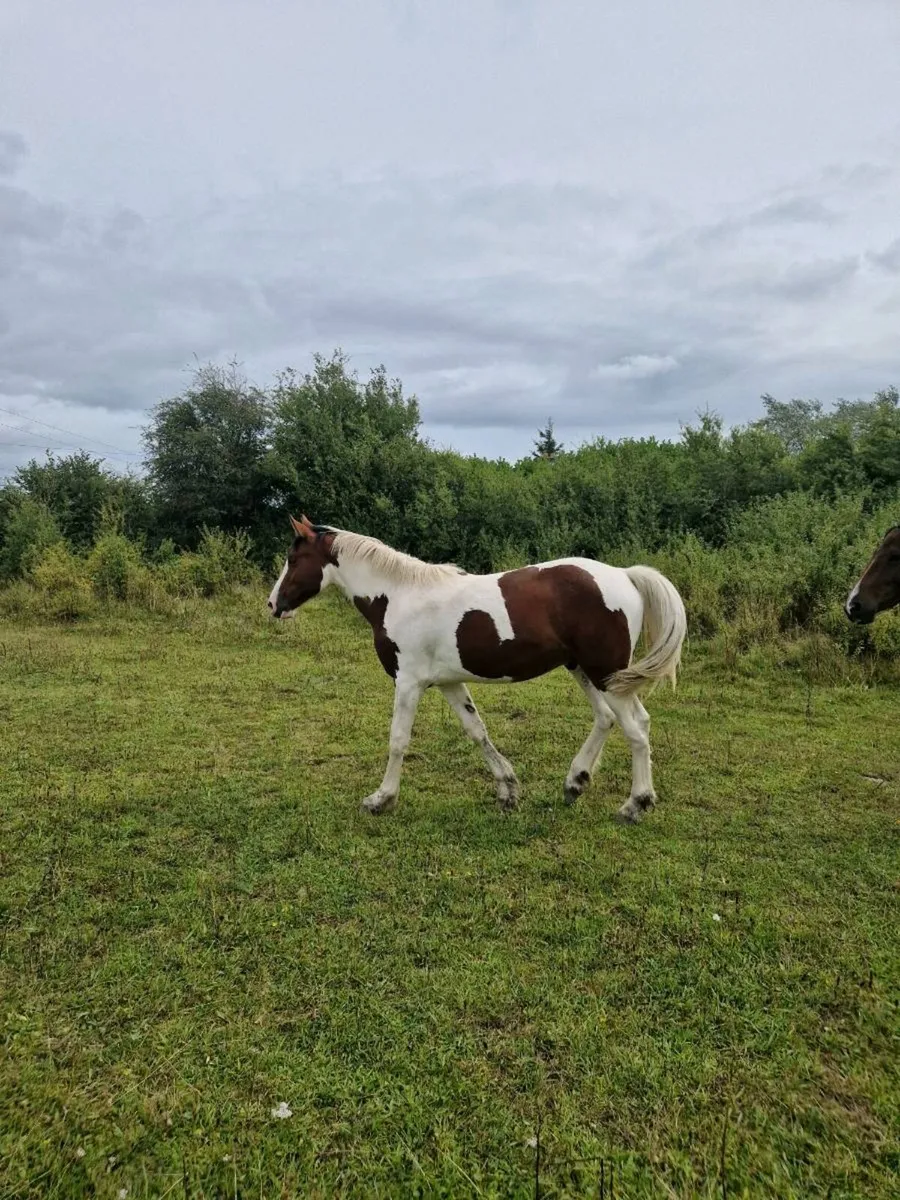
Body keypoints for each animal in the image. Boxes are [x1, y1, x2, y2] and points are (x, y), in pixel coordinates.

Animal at [268, 515, 687, 822]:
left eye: (293, 559)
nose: (274, 604)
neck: (398, 595)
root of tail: (625, 574)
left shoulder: (408, 683)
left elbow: (398, 740)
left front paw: (381, 798)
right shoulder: (448, 683)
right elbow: (477, 731)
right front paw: (508, 790)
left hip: (604, 673)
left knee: (636, 730)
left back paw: (635, 804)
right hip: (587, 670)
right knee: (610, 719)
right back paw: (575, 782)